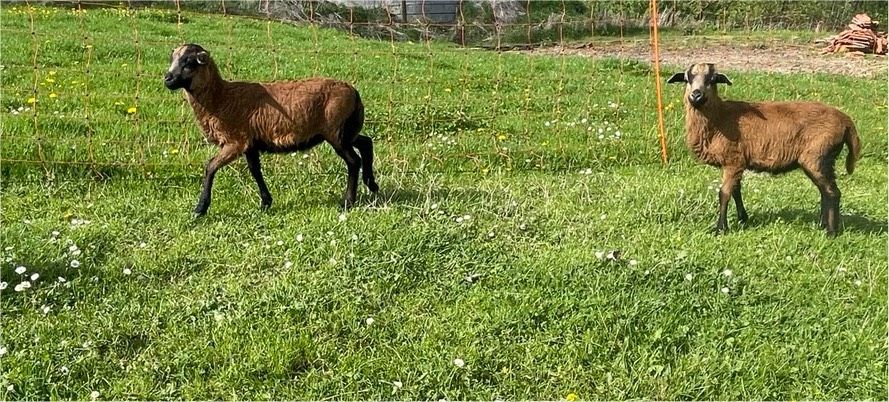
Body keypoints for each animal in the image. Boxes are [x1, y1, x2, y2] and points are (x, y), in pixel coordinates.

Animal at [163, 43, 378, 217]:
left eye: (189, 62)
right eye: (172, 59)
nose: (167, 79)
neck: (220, 98)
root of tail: (354, 92)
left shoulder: (235, 141)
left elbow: (210, 167)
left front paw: (200, 209)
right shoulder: (250, 143)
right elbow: (255, 171)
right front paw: (266, 203)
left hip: (336, 132)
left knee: (353, 161)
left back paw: (347, 202)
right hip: (345, 130)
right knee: (366, 142)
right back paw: (372, 184)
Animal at [664, 62, 860, 237]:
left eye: (712, 79)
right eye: (687, 78)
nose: (696, 96)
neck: (719, 119)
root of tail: (846, 121)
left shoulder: (733, 160)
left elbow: (724, 193)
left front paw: (720, 229)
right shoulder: (738, 162)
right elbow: (736, 191)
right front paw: (743, 218)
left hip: (818, 156)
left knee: (832, 193)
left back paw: (831, 232)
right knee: (824, 192)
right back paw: (822, 225)